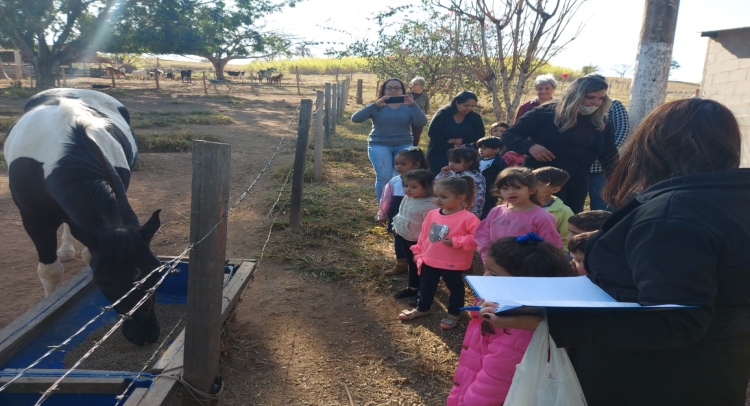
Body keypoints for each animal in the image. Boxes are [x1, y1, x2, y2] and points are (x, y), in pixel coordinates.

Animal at [5, 89, 162, 346]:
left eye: (156, 272)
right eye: (104, 282)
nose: (144, 336)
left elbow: (88, 249)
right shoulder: (33, 219)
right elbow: (49, 271)